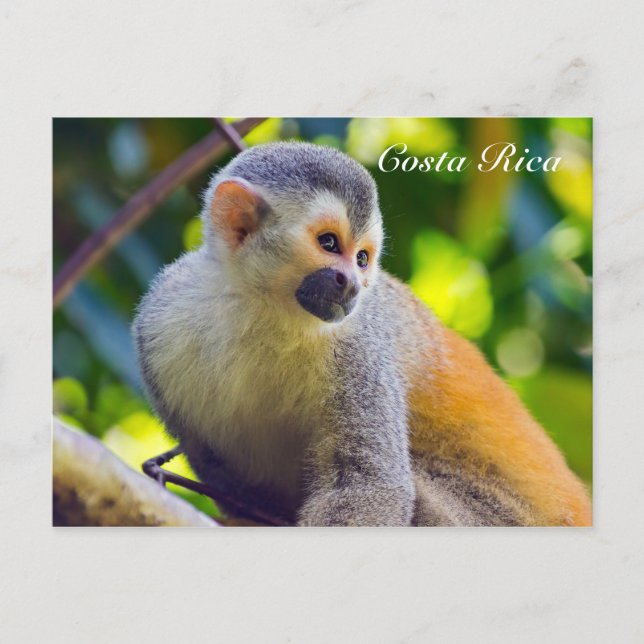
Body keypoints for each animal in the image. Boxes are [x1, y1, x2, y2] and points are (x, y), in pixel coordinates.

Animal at [132, 141, 592, 527]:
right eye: (329, 243)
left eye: (363, 259)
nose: (352, 284)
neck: (260, 308)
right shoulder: (158, 323)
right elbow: (227, 478)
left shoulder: (359, 346)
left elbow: (369, 483)